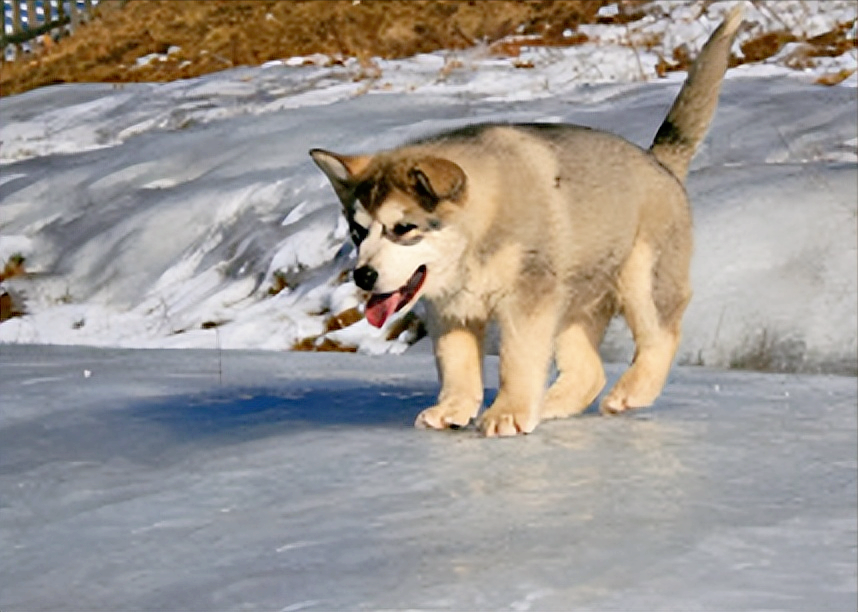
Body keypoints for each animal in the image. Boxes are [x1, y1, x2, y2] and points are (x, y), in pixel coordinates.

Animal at [310, 4, 744, 436]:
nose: (362, 276)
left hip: (641, 277)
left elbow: (517, 360)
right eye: (357, 232)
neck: (479, 232)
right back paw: (551, 404)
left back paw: (630, 392)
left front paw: (508, 413)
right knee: (589, 371)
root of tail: (659, 162)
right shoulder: (451, 310)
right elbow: (456, 362)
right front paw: (452, 408)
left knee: (661, 336)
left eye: (403, 229)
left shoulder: (527, 300)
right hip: (572, 303)